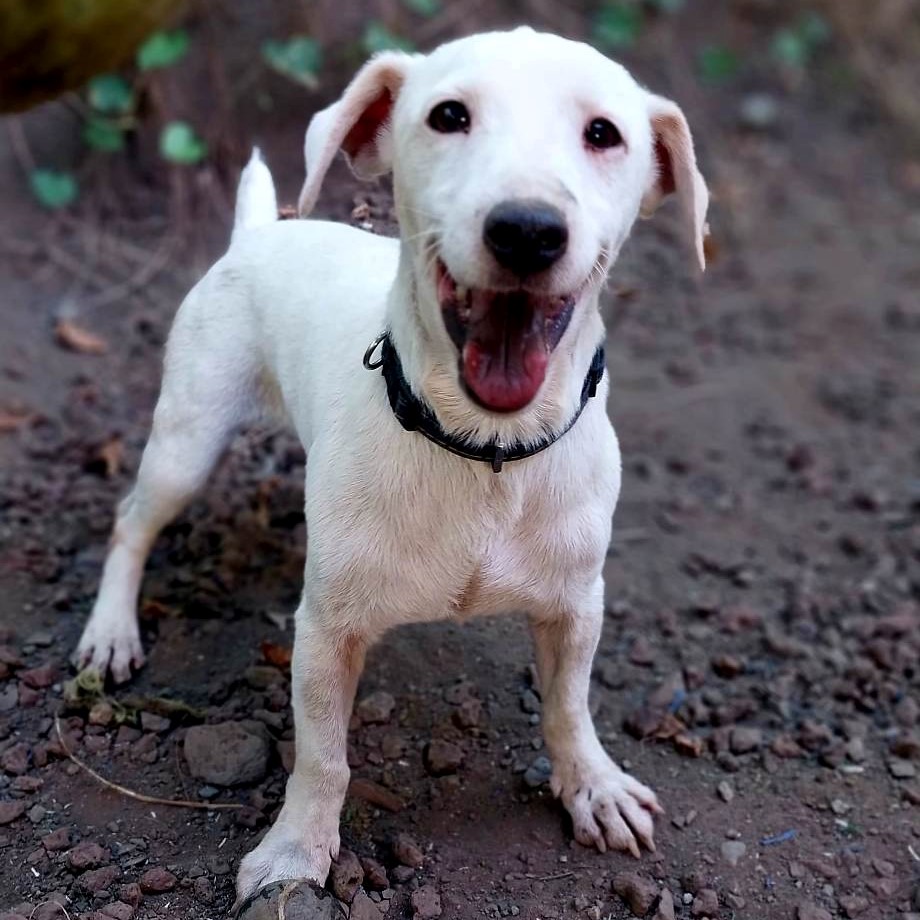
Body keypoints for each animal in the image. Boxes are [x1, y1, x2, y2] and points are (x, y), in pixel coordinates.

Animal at [73, 27, 704, 904]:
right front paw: (295, 852)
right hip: (186, 444)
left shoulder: (576, 606)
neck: (483, 449)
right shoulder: (324, 632)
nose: (527, 230)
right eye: (449, 115)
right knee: (130, 524)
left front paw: (592, 786)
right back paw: (110, 630)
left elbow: (569, 708)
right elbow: (322, 758)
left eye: (604, 133)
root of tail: (259, 231)